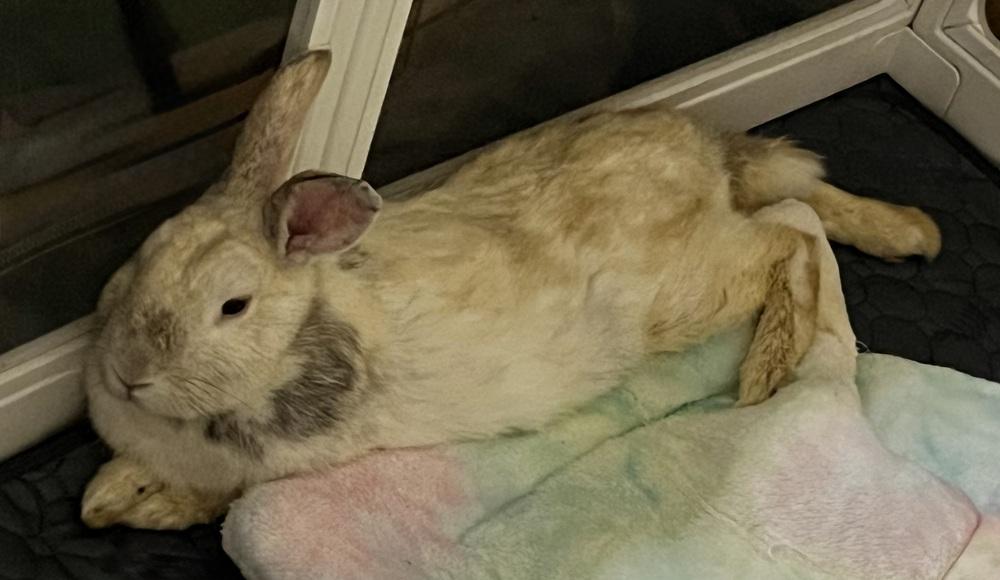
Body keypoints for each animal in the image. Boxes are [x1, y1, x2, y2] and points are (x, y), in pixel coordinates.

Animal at [80, 50, 940, 530]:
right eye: (137, 263)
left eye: (233, 307)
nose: (127, 375)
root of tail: (704, 156)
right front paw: (105, 495)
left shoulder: (267, 472)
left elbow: (204, 499)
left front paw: (119, 501)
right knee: (801, 198)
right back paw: (914, 232)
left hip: (689, 290)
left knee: (788, 240)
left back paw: (765, 373)